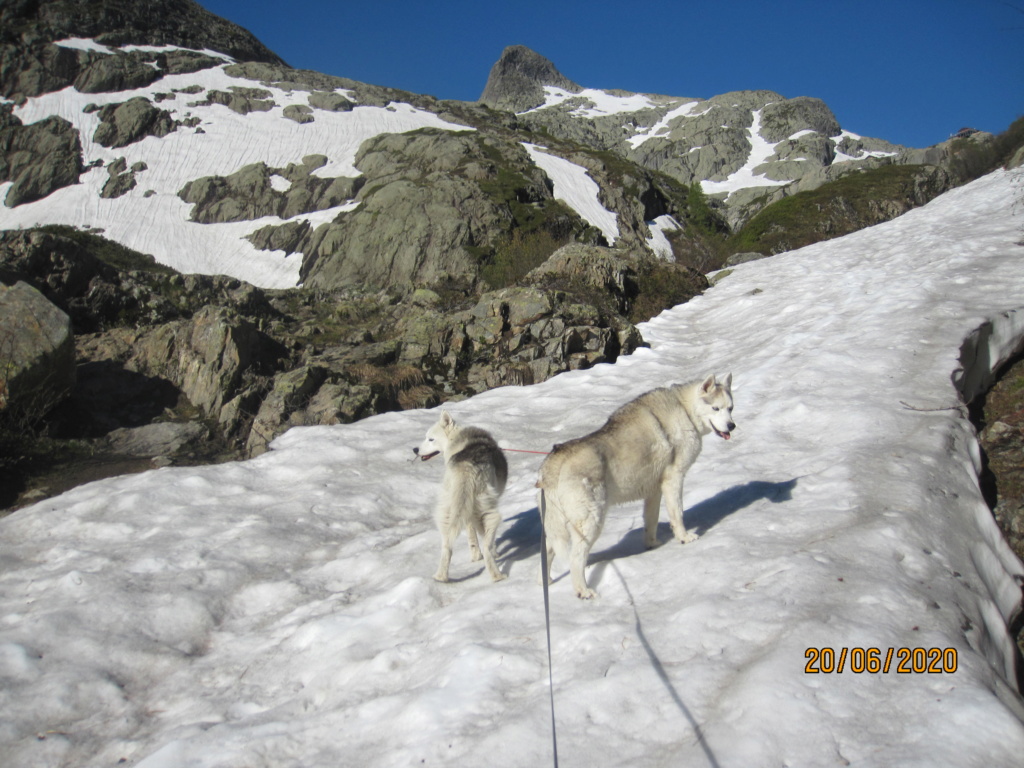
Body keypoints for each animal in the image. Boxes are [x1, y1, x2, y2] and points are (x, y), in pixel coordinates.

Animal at [413, 415, 509, 581]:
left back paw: (441, 577)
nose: (415, 450)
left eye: (430, 439)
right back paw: (497, 575)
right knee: (487, 545)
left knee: (447, 545)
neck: (456, 439)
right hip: (487, 512)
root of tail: (466, 468)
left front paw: (475, 556)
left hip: (447, 512)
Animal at [536, 376, 737, 598]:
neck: (685, 410)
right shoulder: (674, 479)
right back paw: (584, 591)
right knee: (576, 558)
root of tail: (554, 461)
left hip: (555, 528)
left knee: (547, 552)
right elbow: (677, 515)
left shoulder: (654, 491)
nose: (732, 425)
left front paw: (652, 545)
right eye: (716, 408)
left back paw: (546, 582)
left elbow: (651, 520)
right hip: (590, 523)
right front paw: (684, 538)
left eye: (731, 408)